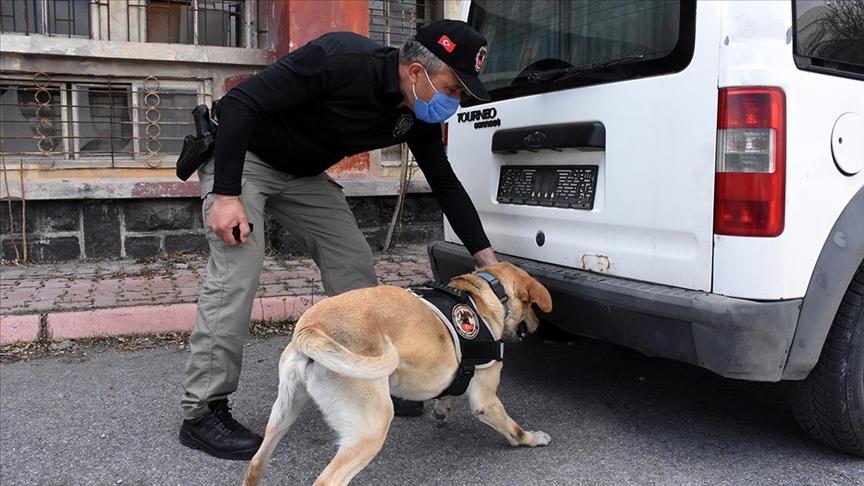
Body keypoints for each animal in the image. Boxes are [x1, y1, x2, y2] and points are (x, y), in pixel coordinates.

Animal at [243, 262, 552, 486]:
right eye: (533, 307)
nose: (539, 325)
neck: (485, 293)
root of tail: (311, 327)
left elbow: (449, 388)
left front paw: (442, 407)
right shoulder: (486, 402)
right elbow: (513, 428)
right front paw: (531, 438)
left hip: (285, 412)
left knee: (256, 464)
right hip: (371, 428)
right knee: (327, 481)